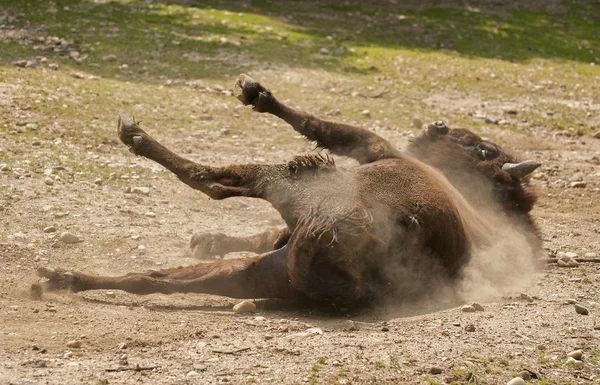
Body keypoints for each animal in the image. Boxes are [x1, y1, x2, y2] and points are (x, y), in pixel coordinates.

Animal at [35, 75, 540, 306]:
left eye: (483, 145)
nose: (437, 126)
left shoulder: (372, 146)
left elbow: (320, 126)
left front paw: (256, 93)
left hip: (292, 188)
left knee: (212, 182)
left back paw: (134, 134)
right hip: (258, 271)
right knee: (153, 279)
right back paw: (60, 278)